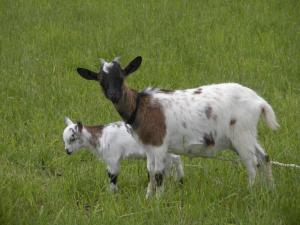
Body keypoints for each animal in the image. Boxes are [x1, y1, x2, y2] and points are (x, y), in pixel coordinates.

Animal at [77, 56, 278, 197]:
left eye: (121, 77)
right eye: (101, 80)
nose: (114, 95)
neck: (140, 106)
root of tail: (259, 102)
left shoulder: (159, 144)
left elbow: (158, 174)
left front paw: (158, 201)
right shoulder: (148, 146)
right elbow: (150, 172)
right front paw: (148, 198)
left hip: (241, 134)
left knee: (252, 163)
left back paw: (250, 193)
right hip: (248, 134)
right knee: (264, 157)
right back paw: (270, 190)